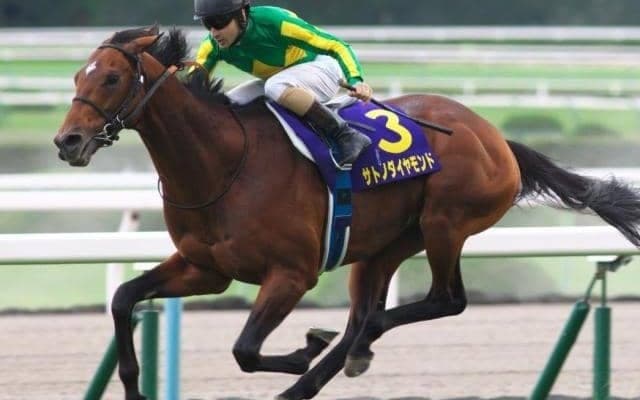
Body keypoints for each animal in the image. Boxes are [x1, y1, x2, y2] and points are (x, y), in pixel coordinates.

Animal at [54, 26, 640, 400]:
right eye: (77, 77)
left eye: (111, 78)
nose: (68, 142)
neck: (222, 164)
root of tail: (495, 136)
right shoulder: (206, 268)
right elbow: (124, 298)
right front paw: (133, 385)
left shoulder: (292, 274)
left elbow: (246, 349)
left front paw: (304, 347)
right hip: (382, 246)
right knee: (366, 315)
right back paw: (324, 371)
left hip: (446, 223)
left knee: (441, 301)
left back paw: (344, 350)